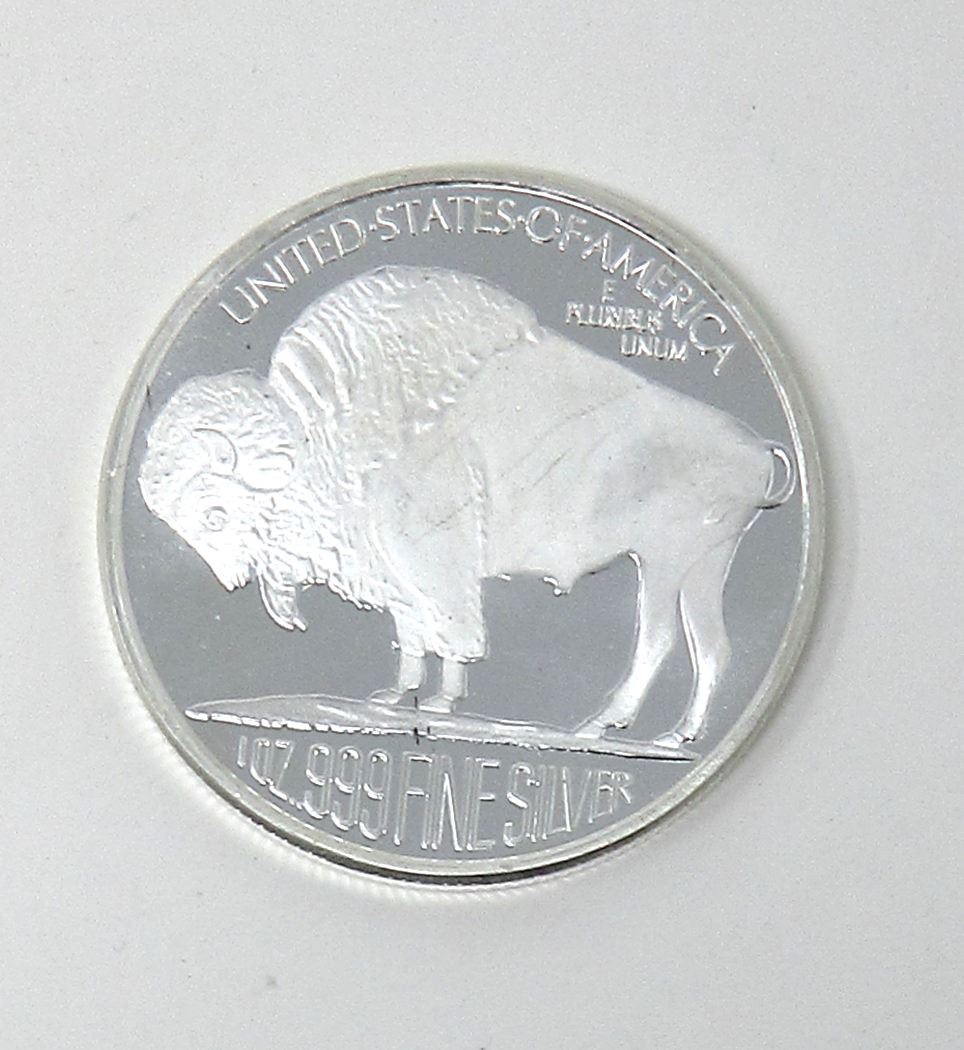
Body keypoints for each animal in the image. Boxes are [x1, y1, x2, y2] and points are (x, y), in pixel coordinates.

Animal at [139, 266, 795, 747]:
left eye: (216, 513)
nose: (231, 581)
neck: (322, 433)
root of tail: (756, 447)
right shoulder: (396, 575)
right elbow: (414, 632)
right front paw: (399, 696)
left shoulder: (432, 560)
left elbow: (453, 629)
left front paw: (440, 700)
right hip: (702, 567)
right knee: (712, 646)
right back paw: (676, 736)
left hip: (663, 562)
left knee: (657, 641)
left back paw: (601, 726)